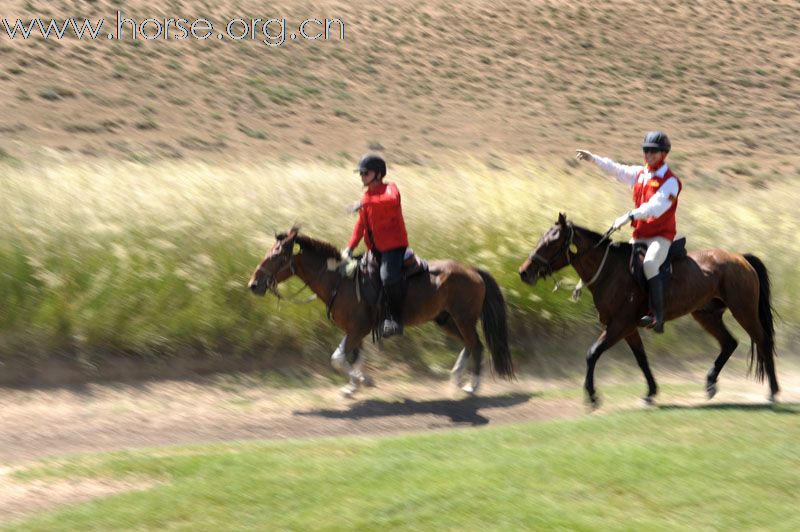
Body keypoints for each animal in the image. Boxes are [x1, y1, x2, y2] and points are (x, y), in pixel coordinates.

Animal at [247, 224, 516, 394]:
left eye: (276, 256)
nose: (253, 284)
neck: (341, 281)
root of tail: (473, 271)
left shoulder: (359, 328)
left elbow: (338, 358)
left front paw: (359, 380)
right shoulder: (355, 330)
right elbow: (351, 356)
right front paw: (354, 384)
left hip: (463, 318)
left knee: (476, 345)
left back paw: (473, 385)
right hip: (446, 319)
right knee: (468, 345)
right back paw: (457, 378)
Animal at [516, 214, 780, 406]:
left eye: (551, 242)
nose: (524, 272)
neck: (610, 270)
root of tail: (740, 258)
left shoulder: (619, 325)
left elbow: (592, 353)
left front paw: (592, 395)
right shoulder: (627, 328)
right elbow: (641, 359)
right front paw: (651, 392)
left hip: (743, 311)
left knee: (763, 341)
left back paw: (773, 391)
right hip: (706, 315)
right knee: (729, 343)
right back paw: (710, 383)